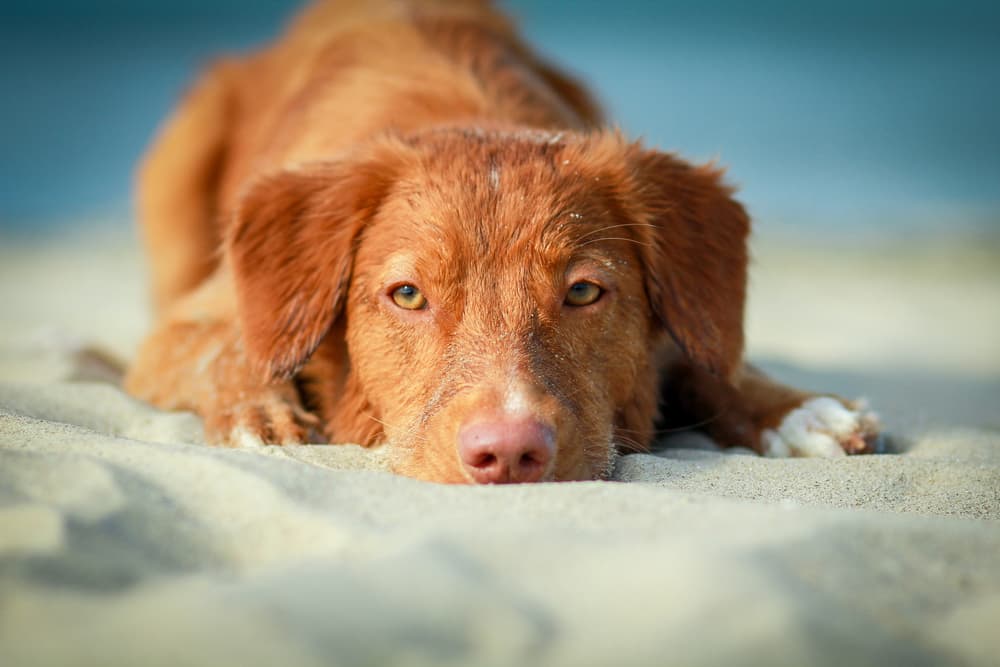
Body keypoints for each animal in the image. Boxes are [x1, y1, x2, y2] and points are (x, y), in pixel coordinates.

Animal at [121, 0, 880, 480]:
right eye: (407, 295)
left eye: (583, 291)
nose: (509, 454)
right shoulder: (181, 328)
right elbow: (225, 351)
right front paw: (258, 409)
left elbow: (705, 358)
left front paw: (793, 407)